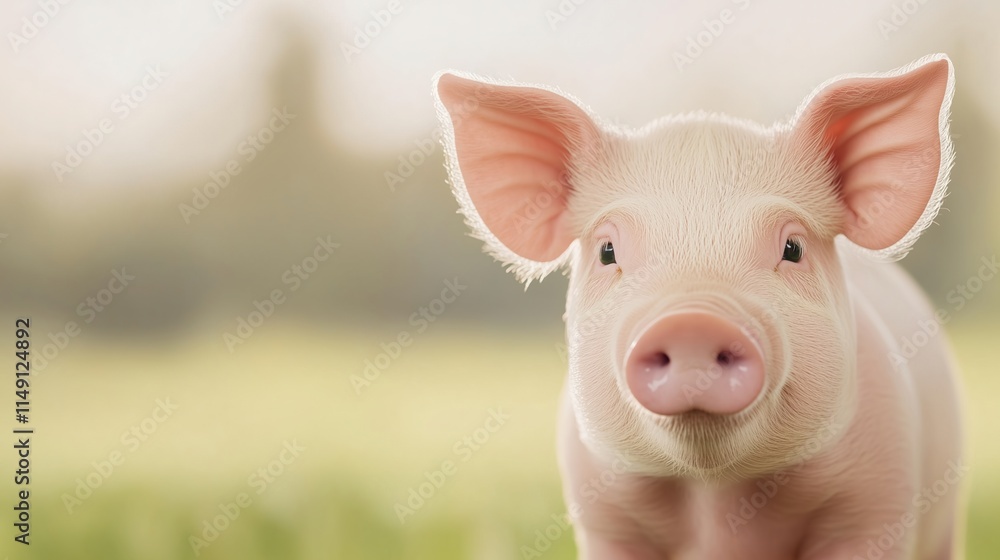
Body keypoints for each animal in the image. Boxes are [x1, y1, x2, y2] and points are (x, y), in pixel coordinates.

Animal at [432, 53, 964, 559]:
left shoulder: (875, 505)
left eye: (792, 247)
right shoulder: (604, 521)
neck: (716, 492)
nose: (692, 322)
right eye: (607, 251)